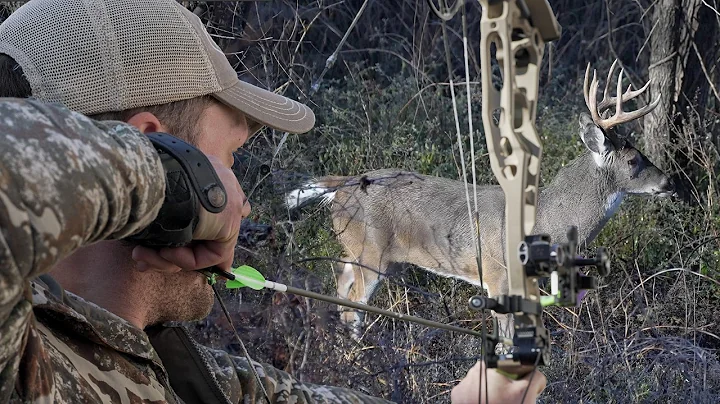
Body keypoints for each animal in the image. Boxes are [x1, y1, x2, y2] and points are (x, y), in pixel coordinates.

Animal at [285, 61, 676, 340]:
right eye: (633, 160)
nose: (669, 181)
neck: (546, 220)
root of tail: (342, 184)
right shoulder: (499, 275)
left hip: (359, 251)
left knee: (340, 288)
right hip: (372, 253)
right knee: (353, 306)